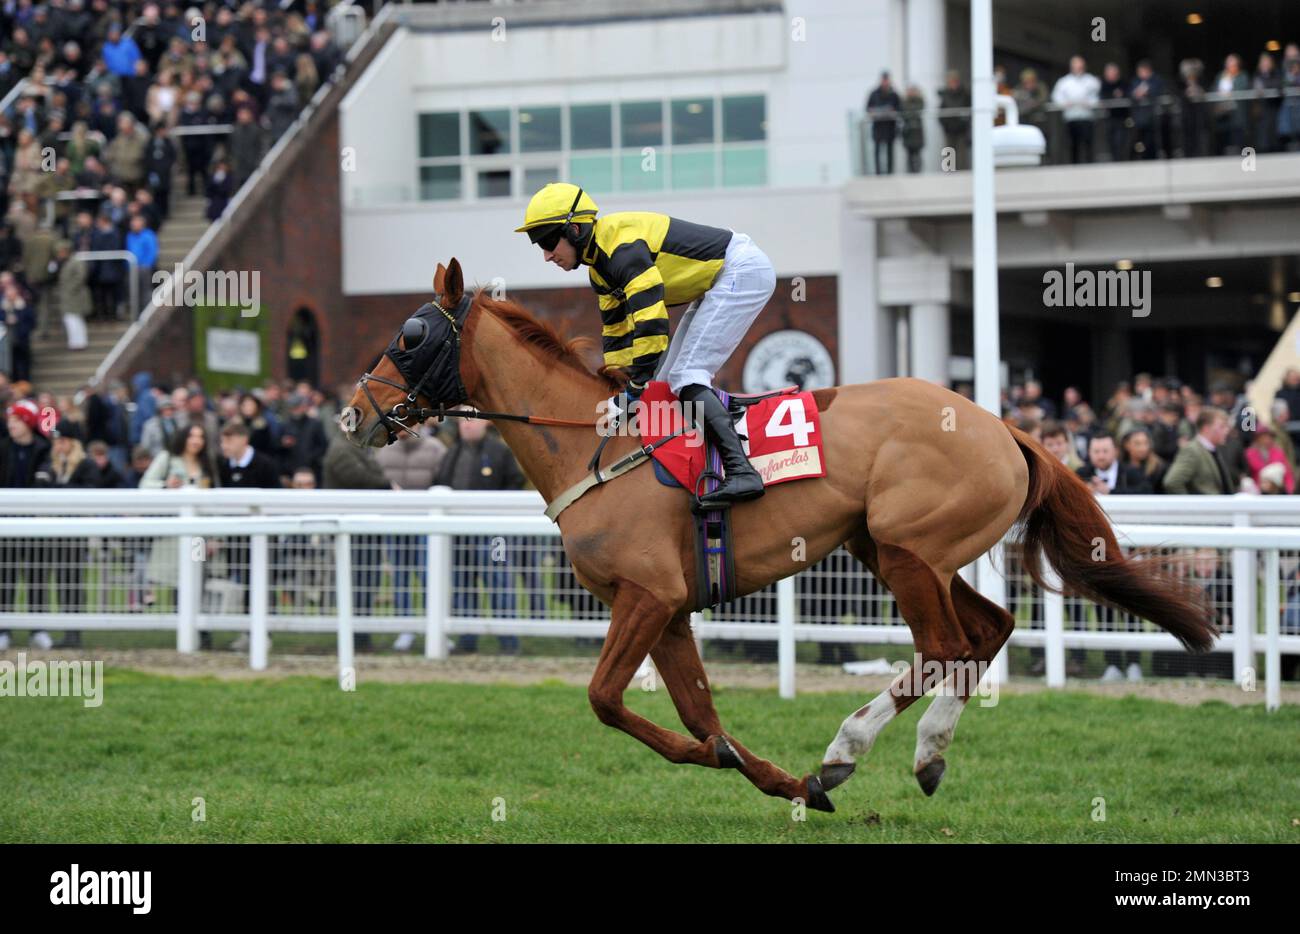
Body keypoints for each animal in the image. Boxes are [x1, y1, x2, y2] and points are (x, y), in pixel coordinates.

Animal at [342, 258, 1217, 813]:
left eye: (410, 337)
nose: (353, 415)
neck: (596, 444)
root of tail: (1004, 427)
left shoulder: (646, 595)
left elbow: (606, 700)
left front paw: (766, 768)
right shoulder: (670, 608)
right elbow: (694, 714)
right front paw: (772, 779)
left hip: (907, 549)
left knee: (945, 645)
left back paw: (846, 749)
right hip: (895, 549)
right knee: (988, 629)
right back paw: (922, 756)